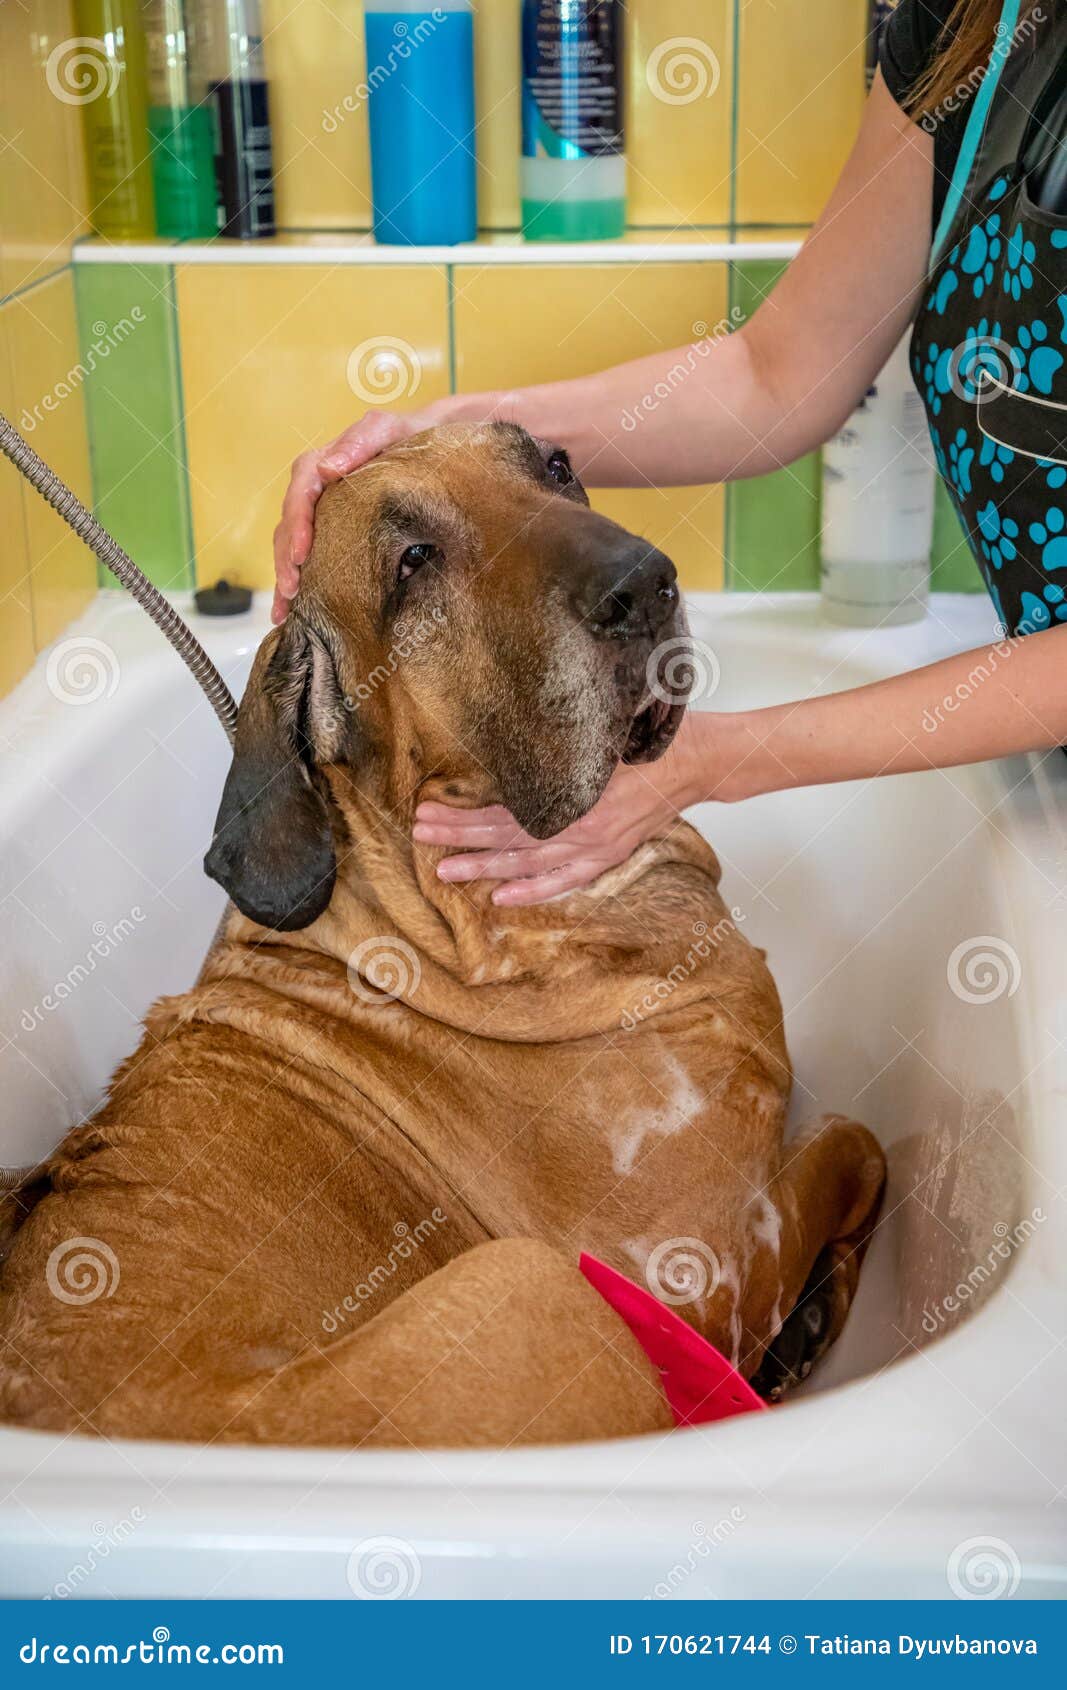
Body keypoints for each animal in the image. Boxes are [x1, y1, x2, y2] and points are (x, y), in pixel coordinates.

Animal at [0, 422, 886, 1439]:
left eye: (554, 466)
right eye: (413, 562)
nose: (645, 580)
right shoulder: (706, 1272)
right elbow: (853, 1145)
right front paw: (808, 1315)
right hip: (531, 1283)